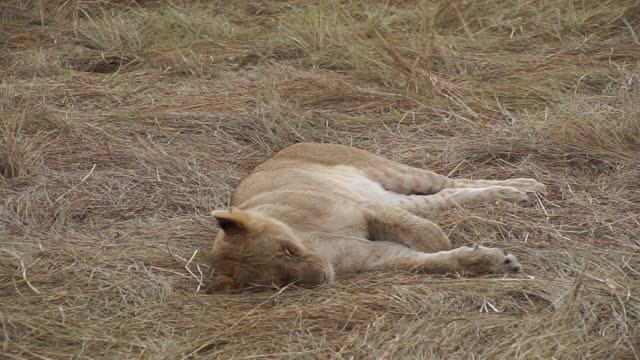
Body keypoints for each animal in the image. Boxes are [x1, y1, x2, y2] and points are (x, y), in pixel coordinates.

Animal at [209, 142, 544, 292]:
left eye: (288, 250)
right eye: (282, 281)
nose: (321, 277)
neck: (310, 239)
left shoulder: (365, 209)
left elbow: (428, 236)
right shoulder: (375, 256)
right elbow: (430, 262)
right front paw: (492, 261)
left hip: (394, 174)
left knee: (449, 182)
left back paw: (525, 187)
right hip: (401, 195)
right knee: (446, 197)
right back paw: (519, 192)